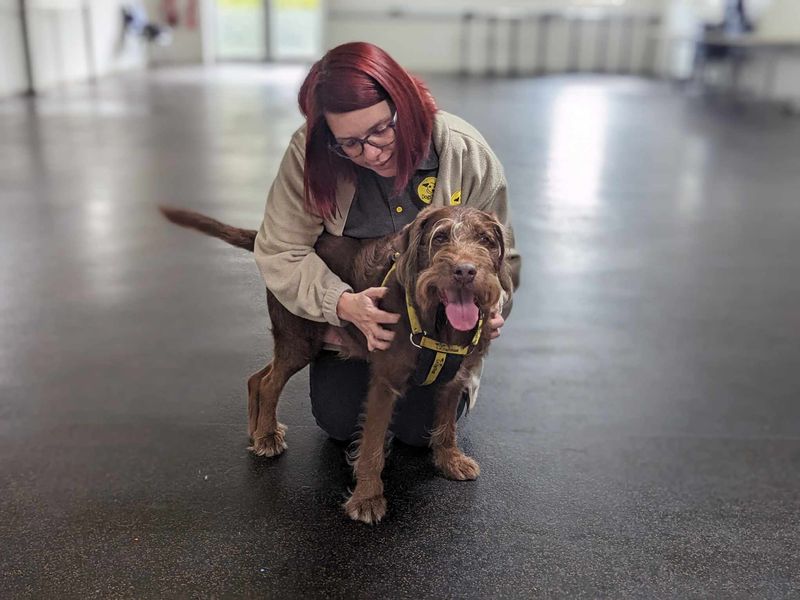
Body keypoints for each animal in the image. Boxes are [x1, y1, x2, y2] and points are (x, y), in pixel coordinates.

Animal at [159, 205, 516, 520]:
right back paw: (266, 436)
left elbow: (447, 426)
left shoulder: (455, 378)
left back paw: (261, 429)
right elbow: (372, 445)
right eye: (440, 238)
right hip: (299, 339)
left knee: (257, 377)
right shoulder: (385, 382)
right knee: (268, 381)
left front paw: (450, 460)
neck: (438, 320)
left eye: (486, 240)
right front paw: (367, 498)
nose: (465, 271)